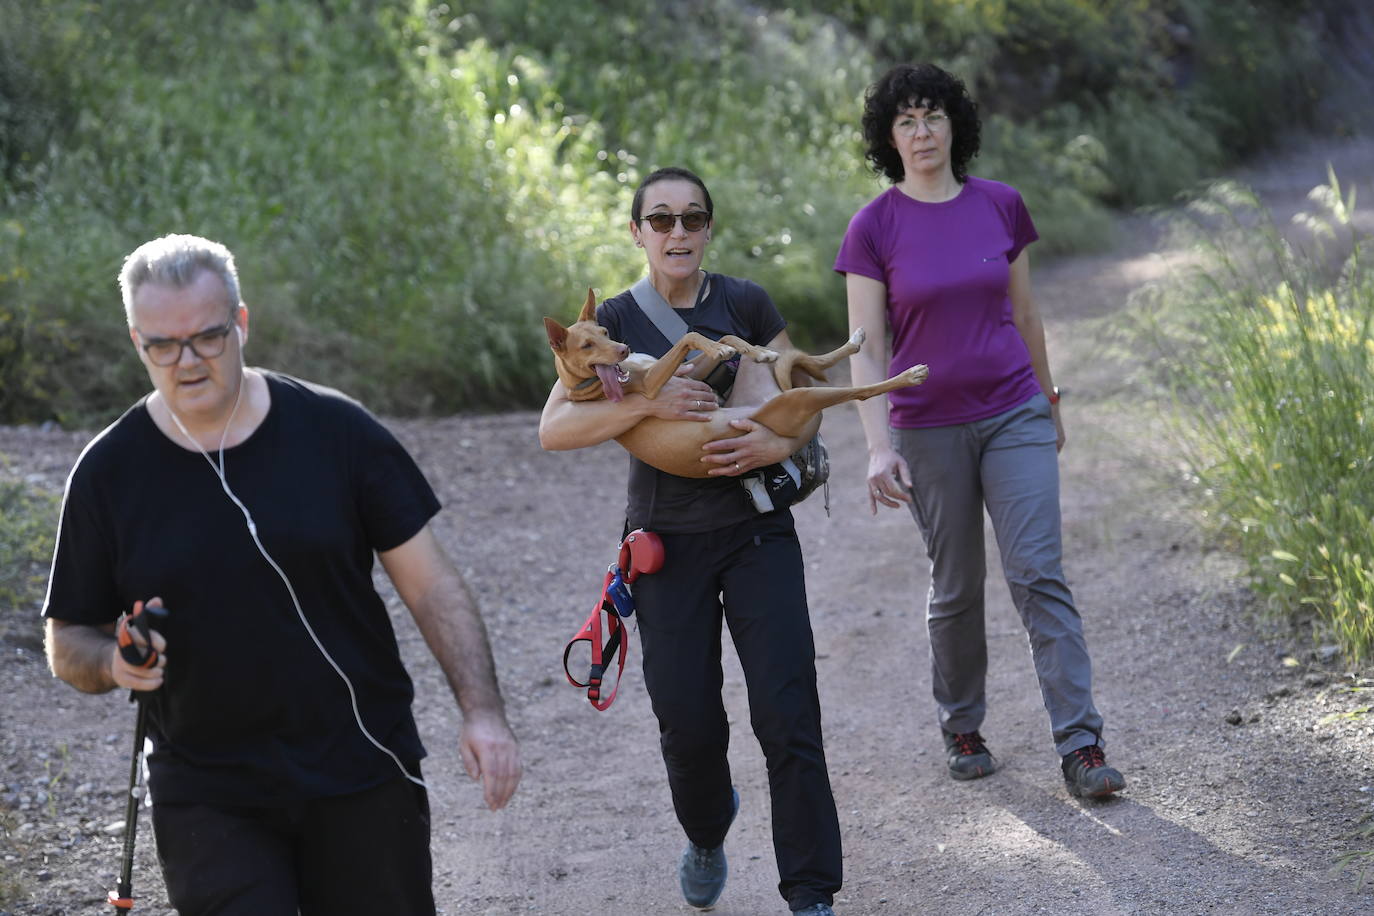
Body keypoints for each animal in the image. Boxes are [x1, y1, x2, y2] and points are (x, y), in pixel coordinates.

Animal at [541, 289, 928, 480]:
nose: (623, 349)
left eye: (605, 332)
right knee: (857, 391)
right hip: (799, 398)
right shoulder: (651, 386)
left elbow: (720, 337)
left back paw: (849, 341)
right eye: (586, 346)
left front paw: (747, 349)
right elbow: (693, 336)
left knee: (810, 360)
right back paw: (909, 375)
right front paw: (729, 347)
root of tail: (762, 407)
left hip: (777, 383)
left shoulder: (687, 371)